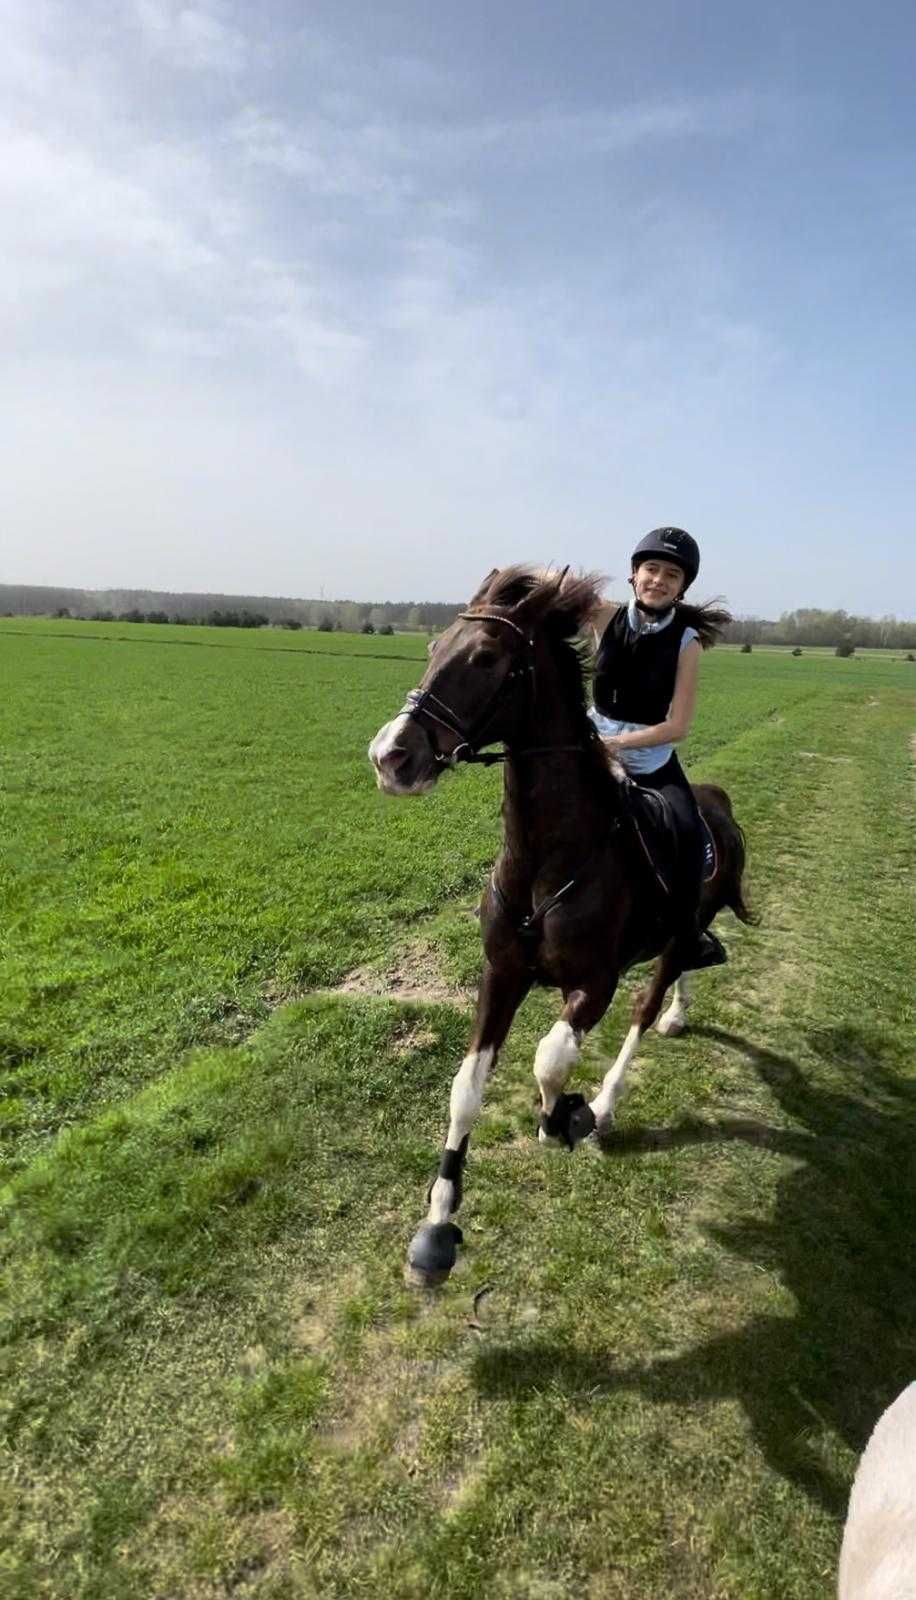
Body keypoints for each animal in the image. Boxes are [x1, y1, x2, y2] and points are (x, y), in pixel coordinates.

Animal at [366, 563, 752, 1286]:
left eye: (486, 659)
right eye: (432, 647)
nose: (390, 757)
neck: (551, 859)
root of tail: (719, 804)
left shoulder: (594, 983)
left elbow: (551, 1059)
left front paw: (562, 1118)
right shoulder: (502, 974)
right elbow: (465, 1090)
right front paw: (436, 1229)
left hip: (671, 939)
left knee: (647, 1003)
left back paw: (605, 1102)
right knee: (681, 973)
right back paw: (677, 1017)